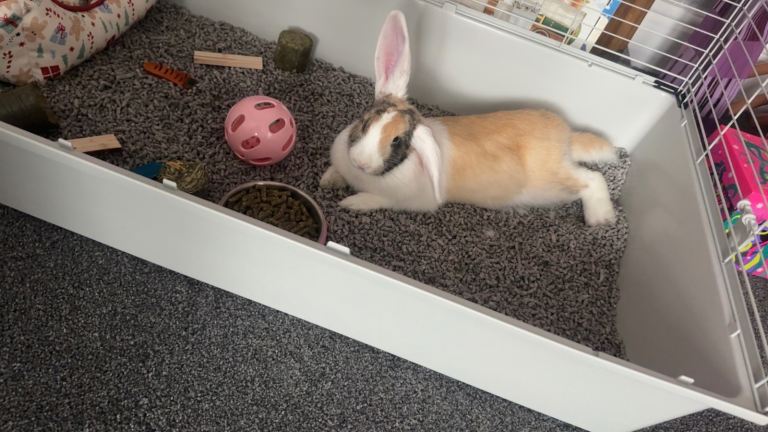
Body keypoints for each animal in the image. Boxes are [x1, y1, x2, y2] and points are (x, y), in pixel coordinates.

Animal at [320, 10, 618, 226]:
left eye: (397, 140)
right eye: (365, 121)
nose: (360, 162)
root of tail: (566, 137)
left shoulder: (404, 200)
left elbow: (376, 200)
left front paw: (351, 203)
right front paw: (328, 180)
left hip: (551, 183)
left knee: (592, 178)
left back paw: (601, 220)